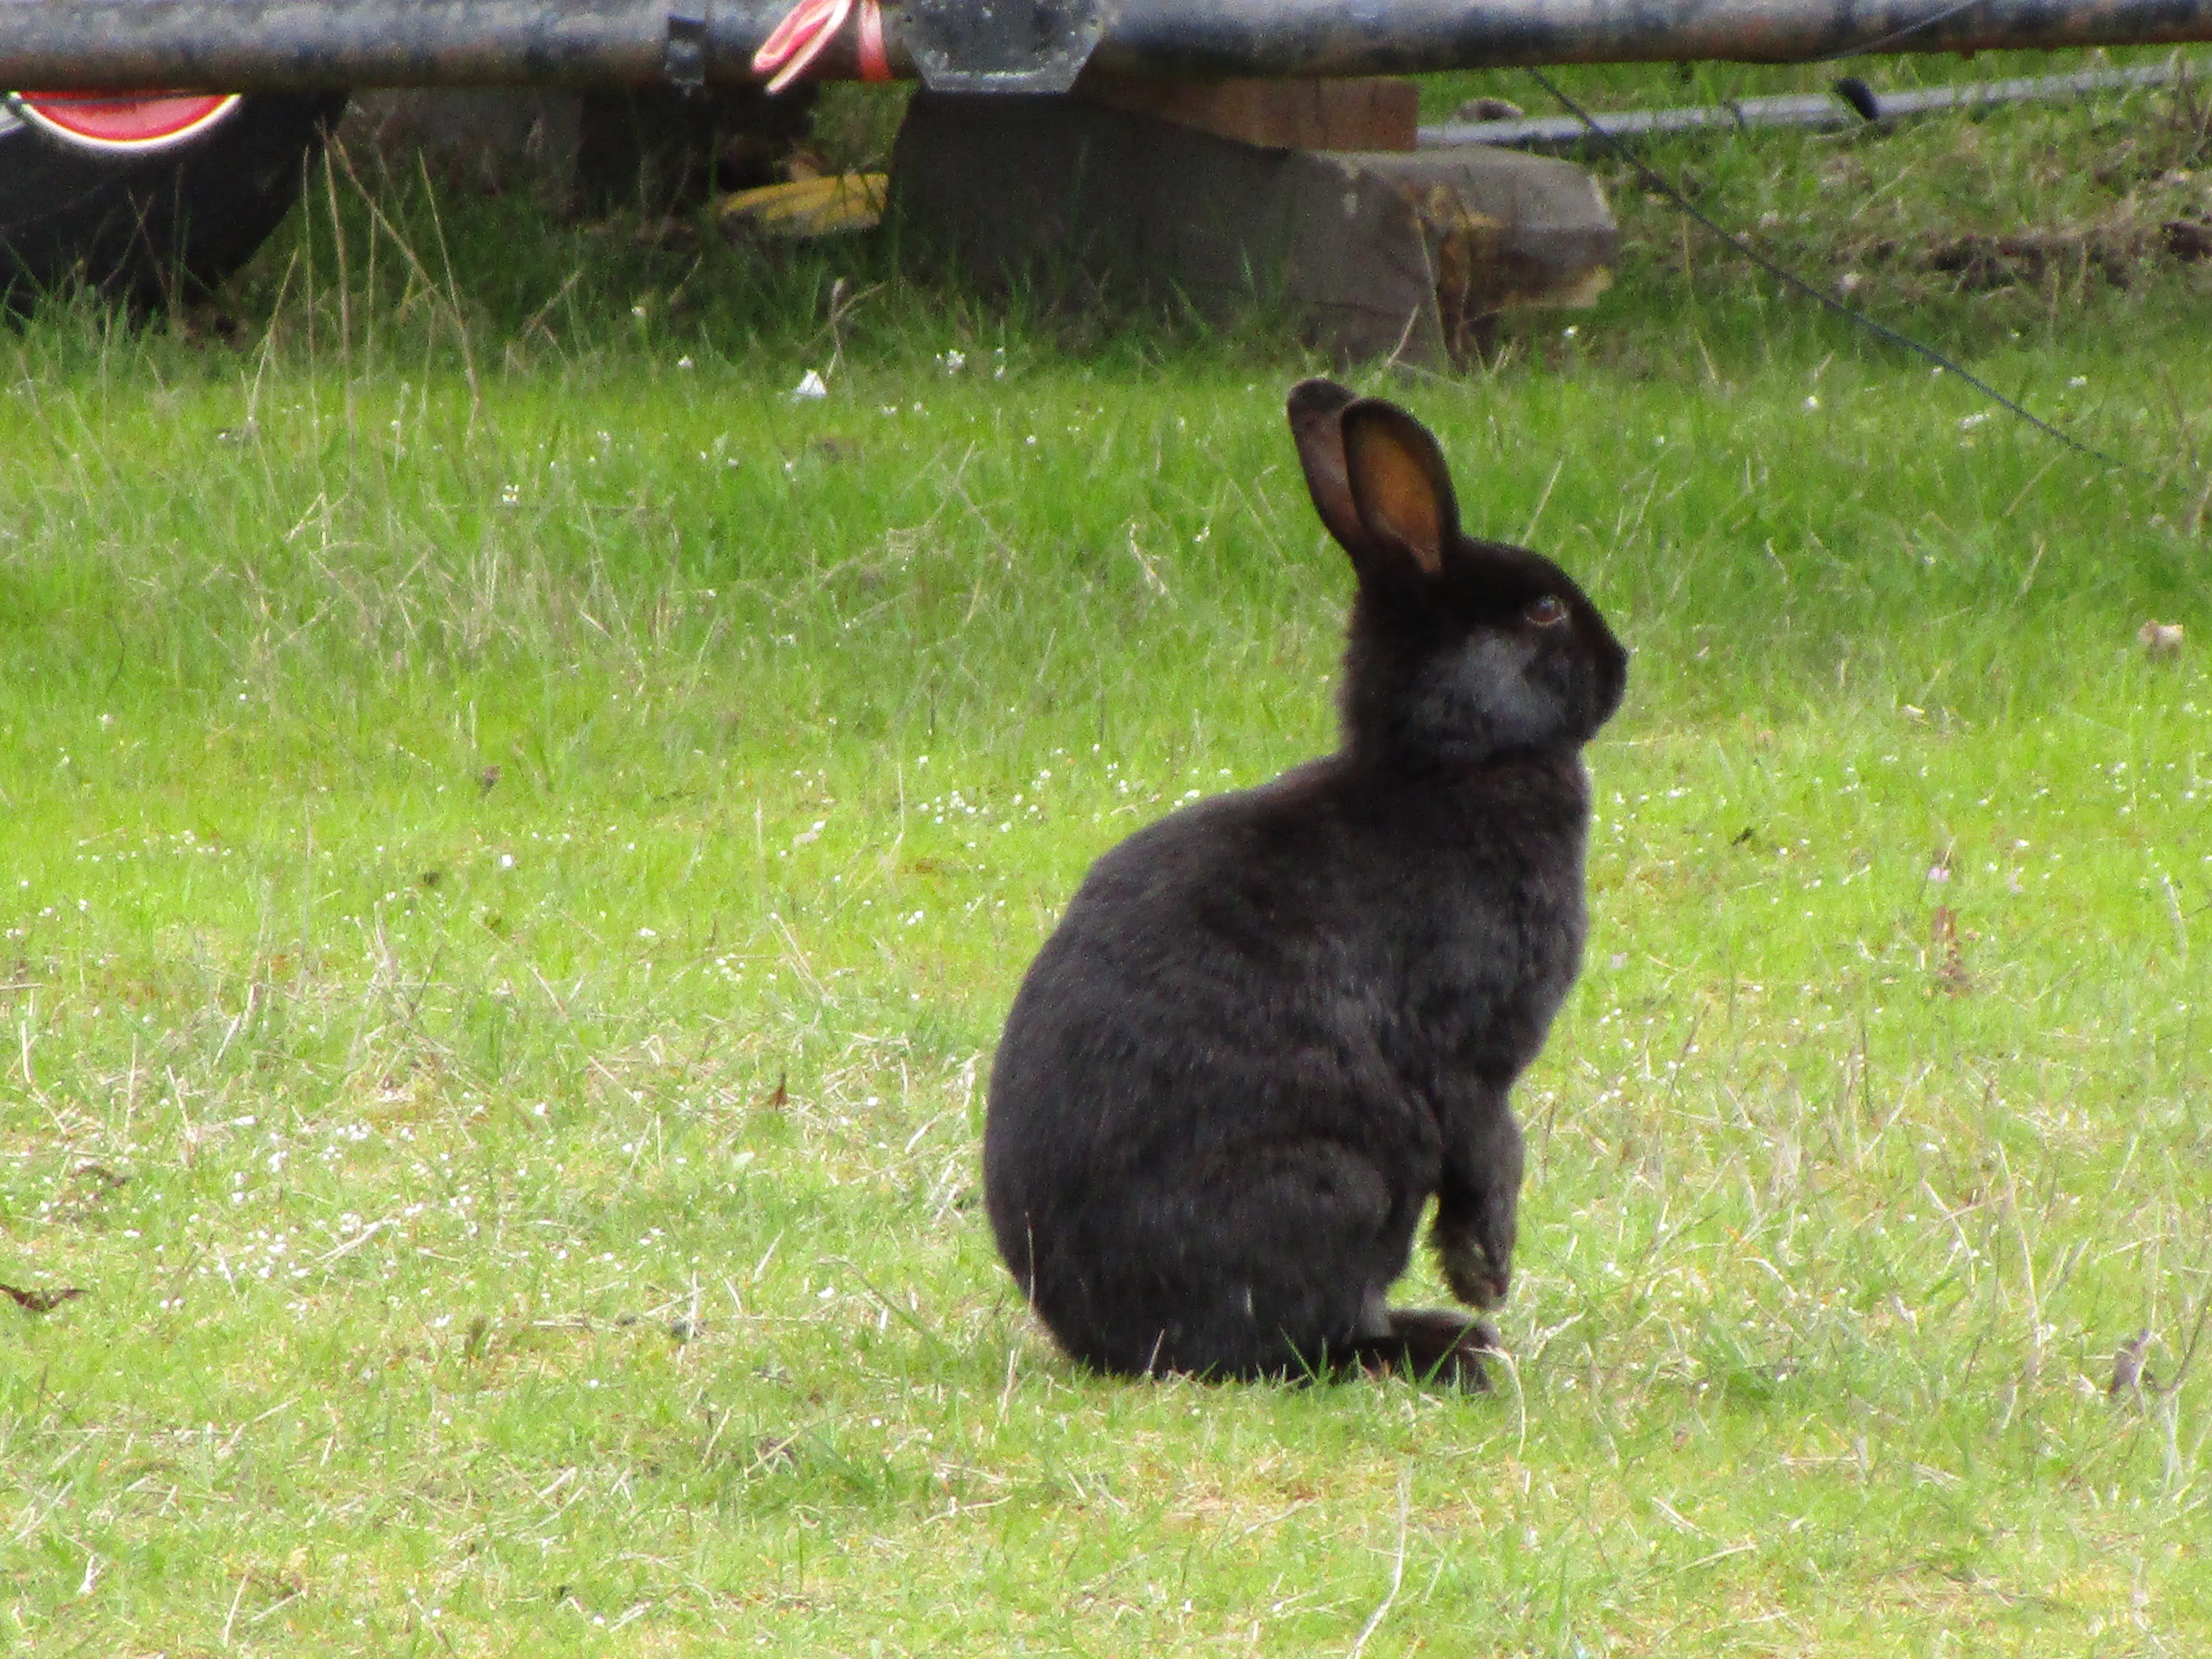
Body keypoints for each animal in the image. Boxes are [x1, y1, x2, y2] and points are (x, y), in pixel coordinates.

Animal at [983, 378, 1628, 1388]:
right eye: (1541, 612)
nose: (1621, 668)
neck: (1446, 764)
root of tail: (1107, 1338)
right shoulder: (1472, 1052)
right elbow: (1492, 1152)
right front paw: (1485, 1273)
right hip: (1343, 1188)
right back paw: (1451, 1345)